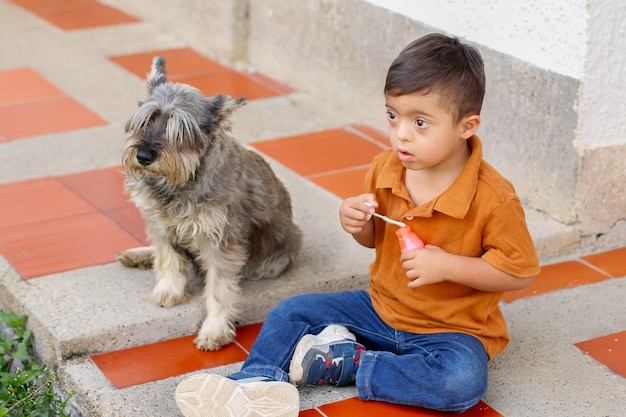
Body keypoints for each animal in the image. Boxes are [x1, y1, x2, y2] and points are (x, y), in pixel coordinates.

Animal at [119, 57, 302, 350]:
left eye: (180, 131)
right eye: (146, 120)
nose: (144, 156)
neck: (179, 182)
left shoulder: (220, 243)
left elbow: (219, 289)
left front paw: (214, 330)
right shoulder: (160, 225)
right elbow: (168, 259)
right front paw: (169, 290)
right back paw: (139, 254)